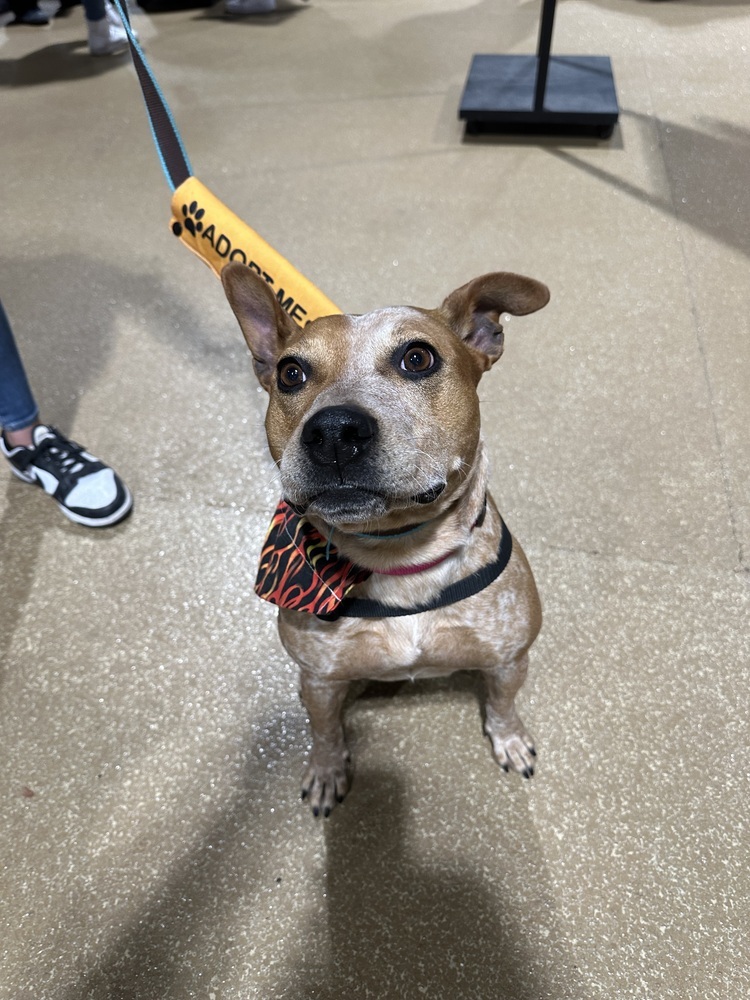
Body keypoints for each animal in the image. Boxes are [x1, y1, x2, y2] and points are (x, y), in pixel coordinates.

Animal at [220, 262, 548, 816]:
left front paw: (508, 738)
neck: (399, 555)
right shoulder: (320, 679)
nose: (333, 430)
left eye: (417, 358)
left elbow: (503, 703)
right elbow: (325, 731)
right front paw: (327, 769)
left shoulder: (508, 660)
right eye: (291, 374)